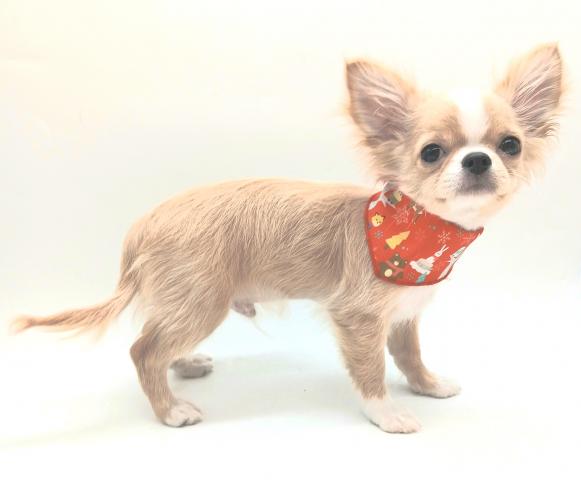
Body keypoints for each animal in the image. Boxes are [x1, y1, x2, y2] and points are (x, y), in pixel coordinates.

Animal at [13, 44, 564, 433]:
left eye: (510, 145)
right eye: (432, 153)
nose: (478, 160)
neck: (422, 231)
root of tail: (145, 222)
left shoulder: (404, 313)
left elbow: (409, 355)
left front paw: (427, 385)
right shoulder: (359, 317)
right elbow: (371, 370)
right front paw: (386, 414)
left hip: (184, 301)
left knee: (155, 335)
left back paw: (184, 363)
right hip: (201, 300)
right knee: (143, 350)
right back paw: (171, 411)